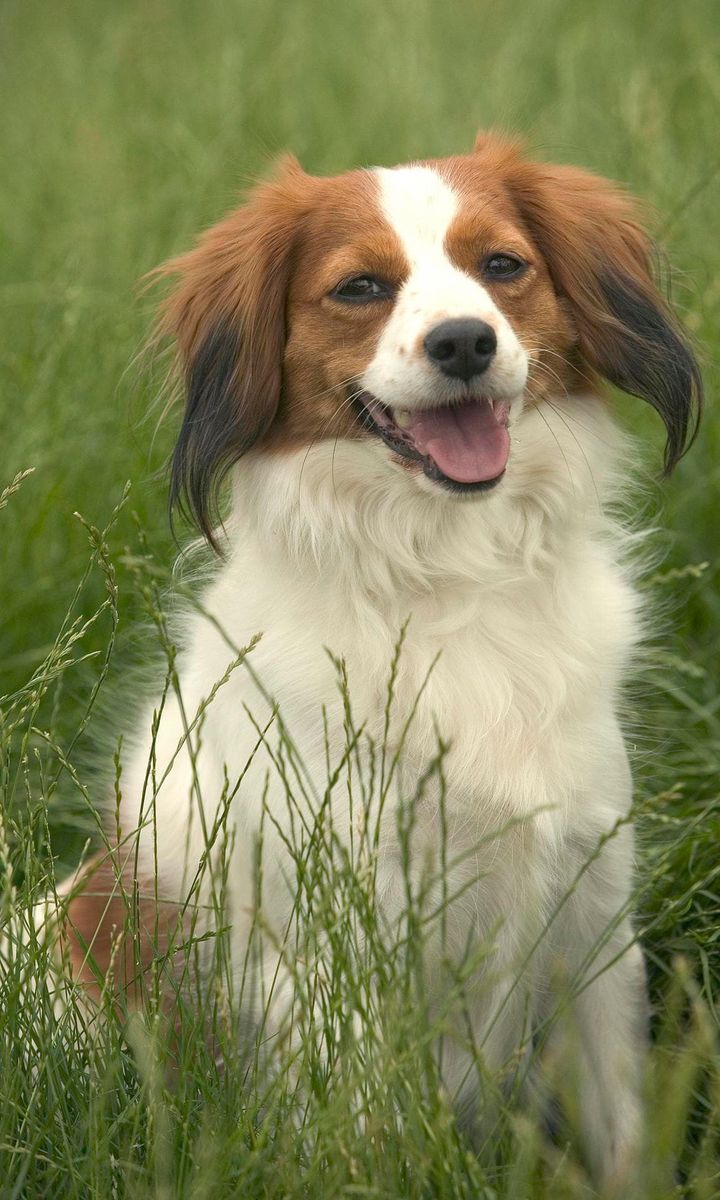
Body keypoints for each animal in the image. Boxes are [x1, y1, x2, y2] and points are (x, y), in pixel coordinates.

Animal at [59, 133, 700, 1190]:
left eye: (503, 266)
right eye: (360, 287)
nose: (464, 342)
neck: (448, 579)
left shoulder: (594, 918)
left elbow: (624, 1140)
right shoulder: (336, 963)